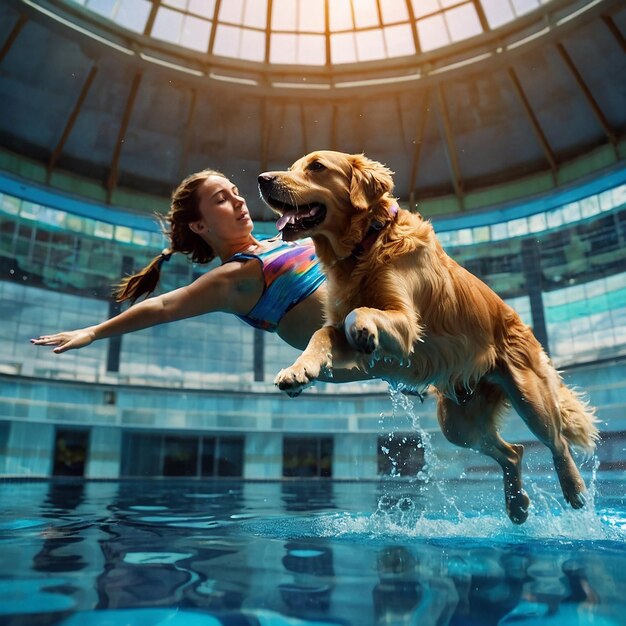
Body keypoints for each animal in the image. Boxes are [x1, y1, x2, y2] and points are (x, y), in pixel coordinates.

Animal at [258, 150, 596, 520]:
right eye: (292, 167)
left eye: (317, 167)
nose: (263, 179)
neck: (369, 241)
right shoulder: (340, 330)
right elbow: (322, 333)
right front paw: (299, 370)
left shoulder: (406, 323)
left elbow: (358, 314)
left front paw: (362, 329)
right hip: (457, 424)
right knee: (513, 451)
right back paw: (517, 505)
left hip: (529, 397)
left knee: (557, 442)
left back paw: (574, 489)